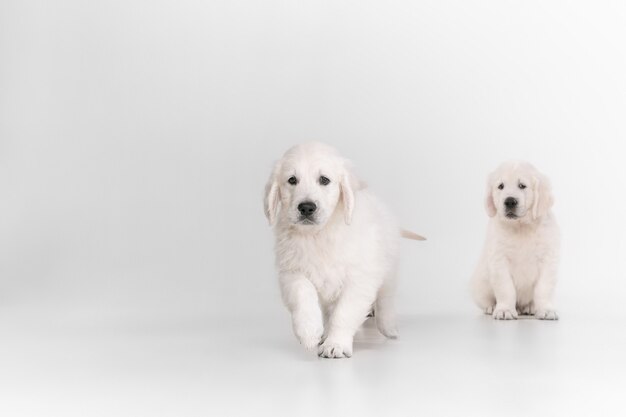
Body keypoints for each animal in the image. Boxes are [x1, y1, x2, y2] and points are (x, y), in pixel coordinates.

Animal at [260, 141, 422, 356]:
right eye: (292, 180)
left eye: (324, 180)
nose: (306, 208)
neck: (319, 234)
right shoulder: (292, 271)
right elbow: (303, 295)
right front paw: (310, 333)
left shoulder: (359, 278)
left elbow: (344, 313)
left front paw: (335, 344)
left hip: (389, 269)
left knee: (385, 299)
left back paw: (389, 328)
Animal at [470, 161, 560, 320]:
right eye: (501, 186)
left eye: (522, 185)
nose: (510, 201)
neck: (520, 227)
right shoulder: (499, 260)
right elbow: (506, 289)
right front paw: (505, 310)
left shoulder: (548, 258)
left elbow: (543, 289)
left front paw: (546, 310)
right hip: (480, 284)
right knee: (486, 299)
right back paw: (491, 307)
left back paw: (530, 307)